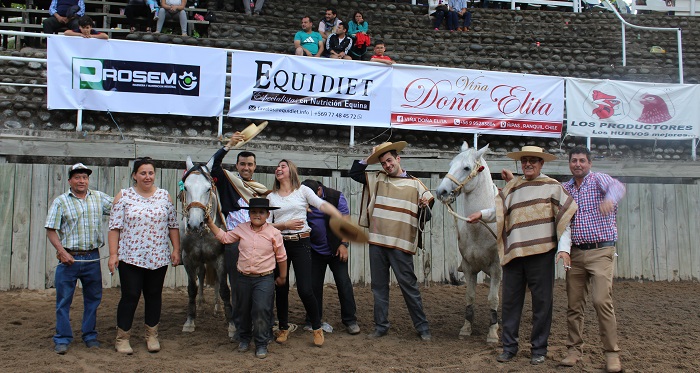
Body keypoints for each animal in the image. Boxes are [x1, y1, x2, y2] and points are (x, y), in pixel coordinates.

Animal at [179, 155, 237, 338]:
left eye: (208, 189)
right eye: (186, 187)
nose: (194, 224)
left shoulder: (221, 258)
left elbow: (225, 289)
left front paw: (232, 325)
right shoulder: (188, 258)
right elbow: (192, 288)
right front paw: (190, 321)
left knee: (217, 282)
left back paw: (218, 308)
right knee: (202, 275)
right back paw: (201, 304)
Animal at [434, 142, 500, 342]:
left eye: (466, 168)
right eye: (450, 164)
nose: (441, 192)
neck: (480, 229)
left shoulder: (496, 269)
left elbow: (493, 299)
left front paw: (493, 333)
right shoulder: (470, 267)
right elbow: (470, 297)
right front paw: (466, 329)